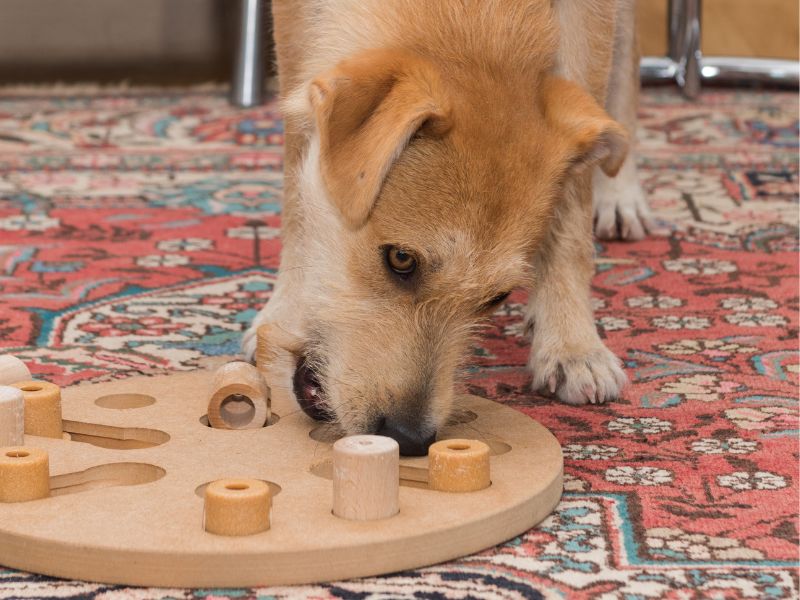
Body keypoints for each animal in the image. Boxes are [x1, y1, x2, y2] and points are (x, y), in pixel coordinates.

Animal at [244, 0, 656, 454]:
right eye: (401, 259)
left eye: (498, 297)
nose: (406, 437)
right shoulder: (294, 19)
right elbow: (296, 160)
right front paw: (284, 307)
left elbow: (574, 199)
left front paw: (572, 345)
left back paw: (621, 192)